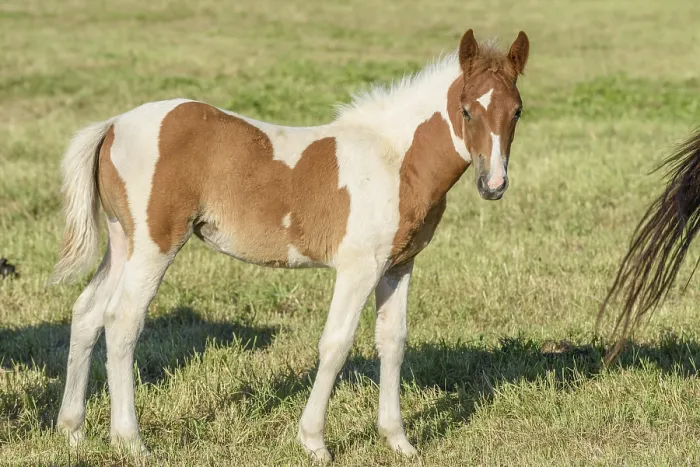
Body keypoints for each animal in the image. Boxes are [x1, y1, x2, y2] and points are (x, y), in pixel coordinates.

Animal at [50, 28, 530, 461]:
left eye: (517, 112)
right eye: (466, 110)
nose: (493, 184)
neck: (394, 160)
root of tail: (113, 125)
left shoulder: (398, 266)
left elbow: (393, 343)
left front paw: (399, 441)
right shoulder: (359, 267)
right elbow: (335, 344)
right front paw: (313, 441)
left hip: (122, 242)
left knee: (87, 312)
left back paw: (72, 431)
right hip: (155, 244)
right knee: (122, 321)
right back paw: (130, 440)